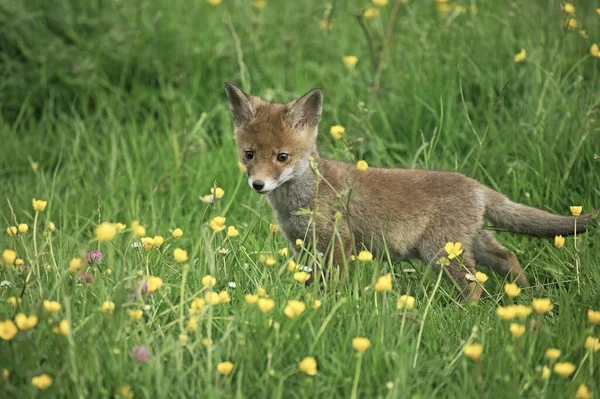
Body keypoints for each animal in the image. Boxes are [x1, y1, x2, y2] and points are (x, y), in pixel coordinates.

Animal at [224, 82, 596, 300]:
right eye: (249, 155)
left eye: (282, 157)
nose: (258, 184)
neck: (301, 200)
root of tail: (475, 185)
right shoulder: (303, 247)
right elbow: (310, 282)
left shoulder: (339, 242)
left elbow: (335, 286)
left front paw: (328, 308)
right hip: (473, 243)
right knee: (507, 257)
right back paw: (527, 299)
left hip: (441, 251)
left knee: (475, 284)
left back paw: (466, 318)